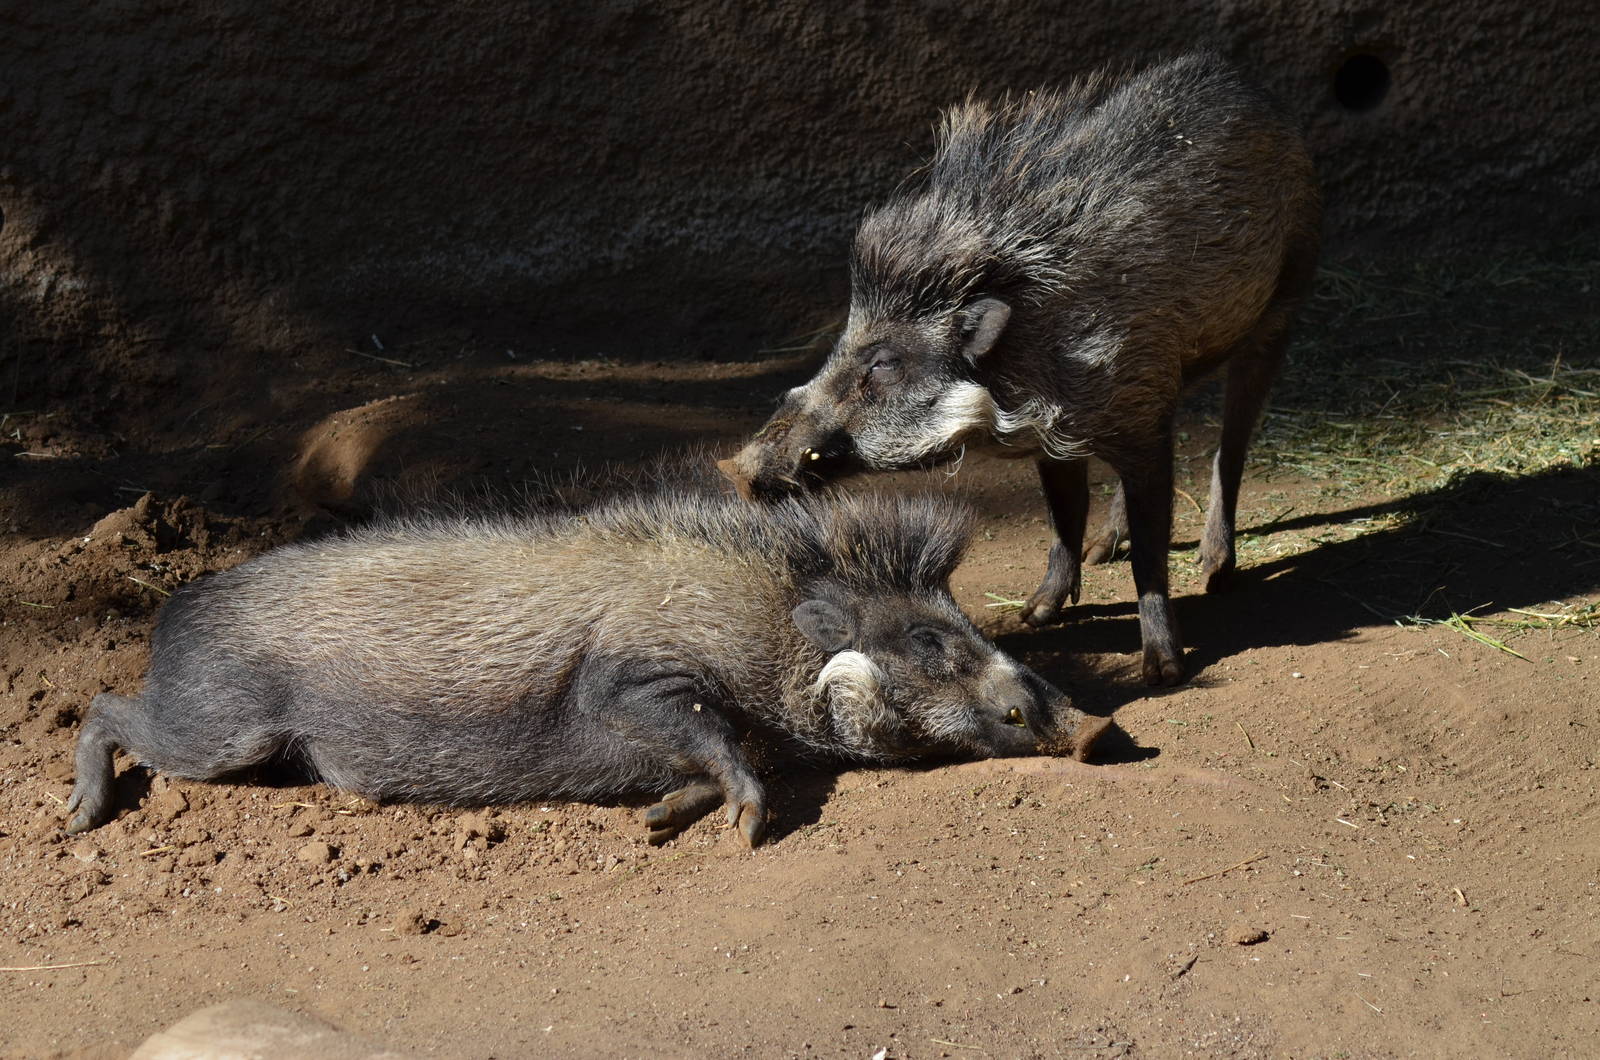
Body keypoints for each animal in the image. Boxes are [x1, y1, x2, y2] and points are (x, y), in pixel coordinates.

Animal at [64, 487, 1109, 846]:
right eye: (929, 642)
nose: (1096, 727)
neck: (759, 623)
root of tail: (176, 610)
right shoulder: (634, 681)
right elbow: (719, 743)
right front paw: (740, 830)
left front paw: (657, 820)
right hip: (221, 726)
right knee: (105, 704)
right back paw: (79, 819)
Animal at [719, 52, 1322, 686]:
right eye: (842, 339)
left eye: (883, 363)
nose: (734, 469)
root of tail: (1255, 90)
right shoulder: (1060, 437)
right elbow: (1063, 516)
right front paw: (1036, 615)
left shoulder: (1129, 415)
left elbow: (1151, 553)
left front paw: (1161, 672)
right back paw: (1106, 549)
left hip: (1282, 306)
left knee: (1233, 441)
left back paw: (1215, 571)